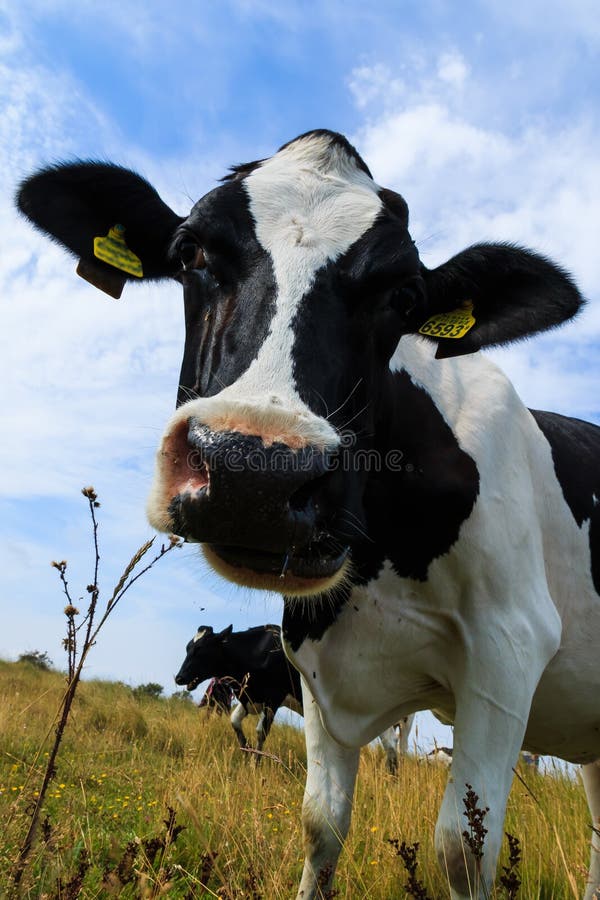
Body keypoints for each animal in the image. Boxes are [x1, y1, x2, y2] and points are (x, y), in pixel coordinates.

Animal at [176, 620, 410, 772]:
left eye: (201, 649)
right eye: (188, 647)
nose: (179, 677)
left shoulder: (273, 697)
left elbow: (261, 732)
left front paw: (255, 764)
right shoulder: (251, 697)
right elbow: (234, 721)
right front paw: (246, 752)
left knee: (393, 744)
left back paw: (392, 778)